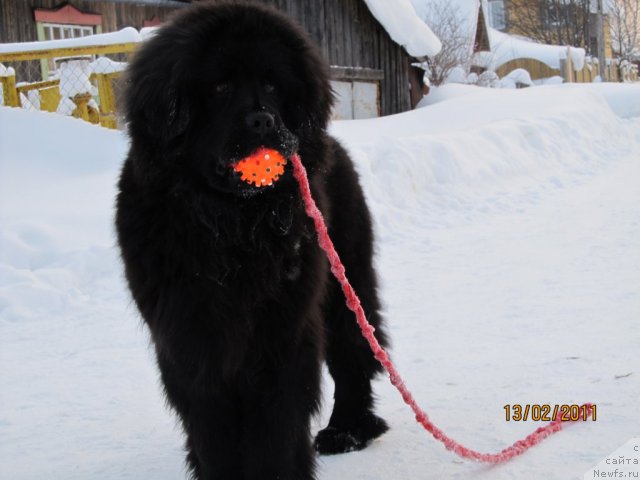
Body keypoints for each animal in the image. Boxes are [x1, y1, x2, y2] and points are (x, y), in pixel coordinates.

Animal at [115, 1, 390, 478]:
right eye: (220, 86)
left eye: (272, 84)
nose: (263, 120)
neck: (234, 230)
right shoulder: (191, 339)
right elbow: (213, 430)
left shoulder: (281, 335)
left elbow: (275, 426)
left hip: (346, 283)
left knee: (353, 354)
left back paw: (348, 431)